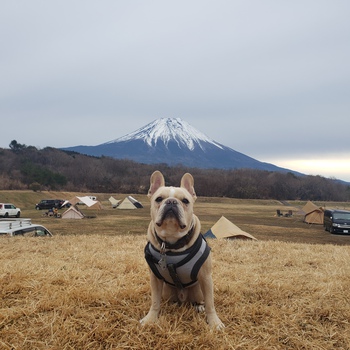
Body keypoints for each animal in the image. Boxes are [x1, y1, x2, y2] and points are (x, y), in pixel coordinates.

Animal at [140, 171, 224, 330]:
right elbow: (155, 301)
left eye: (185, 201)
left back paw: (199, 306)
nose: (171, 202)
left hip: (198, 289)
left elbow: (210, 303)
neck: (172, 241)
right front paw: (150, 319)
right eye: (159, 199)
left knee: (202, 300)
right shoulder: (155, 279)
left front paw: (214, 322)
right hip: (166, 291)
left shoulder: (206, 277)